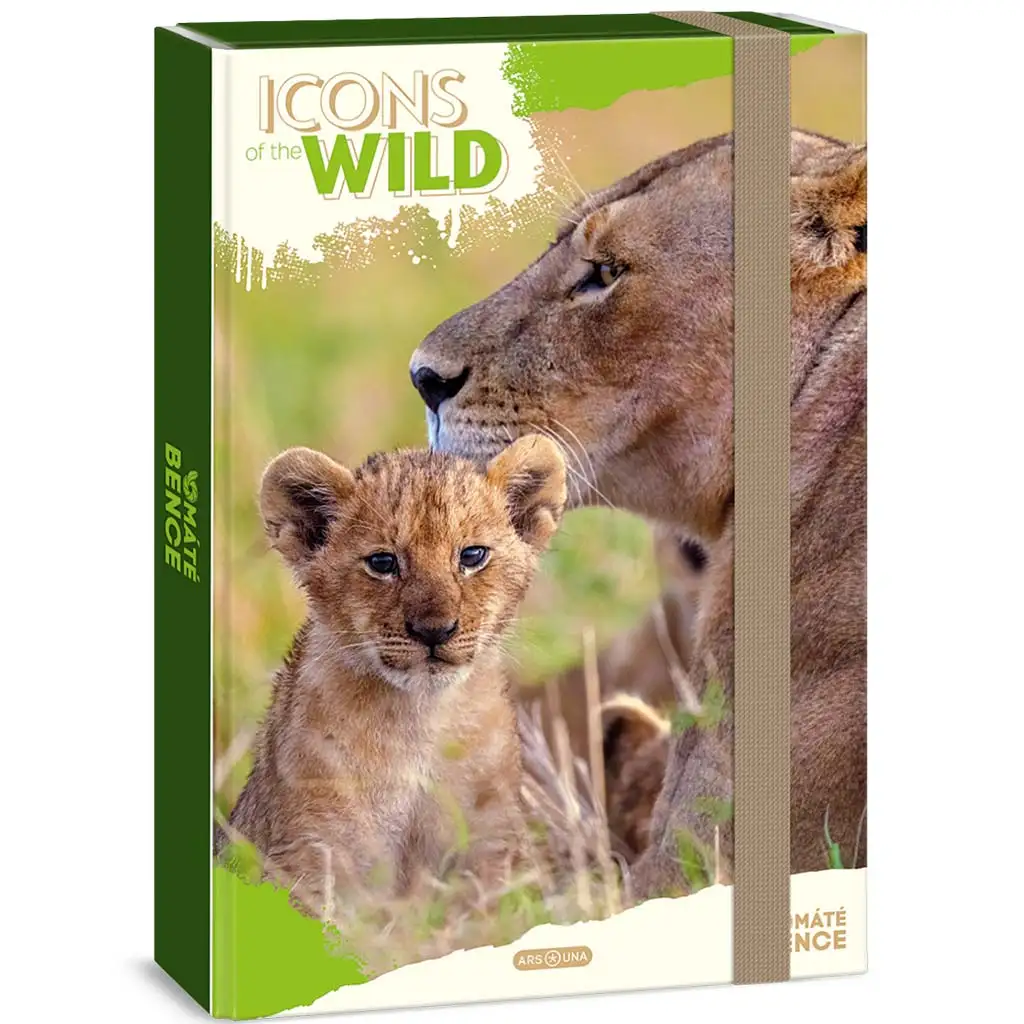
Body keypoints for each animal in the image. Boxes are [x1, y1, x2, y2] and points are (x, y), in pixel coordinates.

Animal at [219, 437, 567, 914]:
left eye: (472, 556)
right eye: (382, 562)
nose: (434, 631)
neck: (420, 722)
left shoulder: (491, 846)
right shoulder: (310, 854)